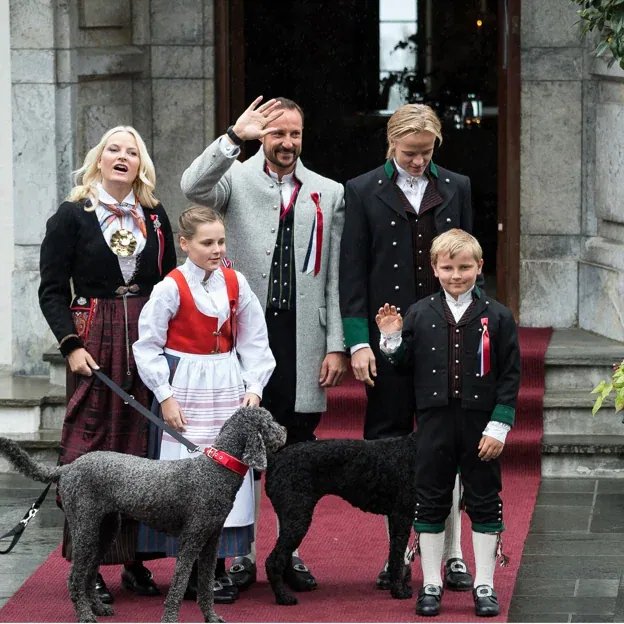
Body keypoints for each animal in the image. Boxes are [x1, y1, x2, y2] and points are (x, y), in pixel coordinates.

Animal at [0, 408, 286, 620]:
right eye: (269, 421)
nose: (284, 431)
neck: (215, 470)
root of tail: (68, 468)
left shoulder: (211, 540)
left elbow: (205, 584)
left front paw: (211, 617)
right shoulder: (191, 539)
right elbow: (179, 584)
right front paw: (170, 618)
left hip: (106, 530)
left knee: (90, 572)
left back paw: (99, 608)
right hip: (85, 527)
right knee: (75, 577)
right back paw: (84, 614)